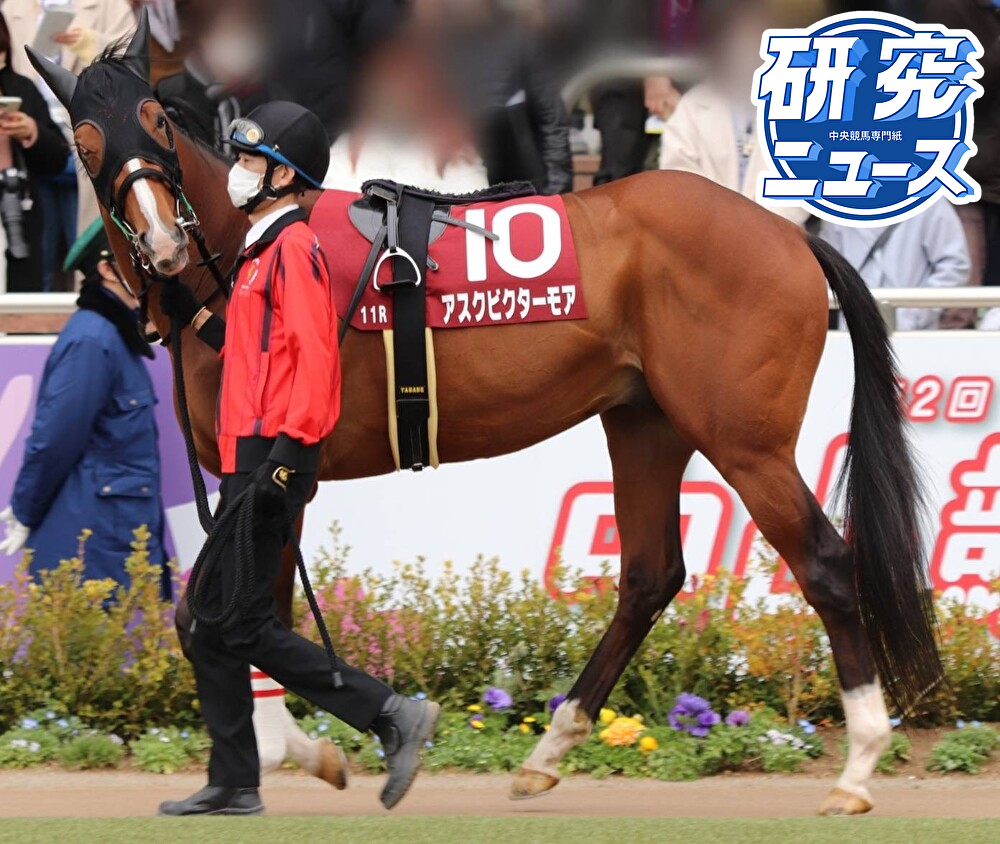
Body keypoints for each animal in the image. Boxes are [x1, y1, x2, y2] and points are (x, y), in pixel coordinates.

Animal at [28, 16, 942, 816]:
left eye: (155, 119)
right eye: (88, 141)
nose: (164, 243)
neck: (245, 250)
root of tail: (789, 234)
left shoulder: (275, 471)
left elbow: (231, 619)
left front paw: (296, 752)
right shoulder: (263, 478)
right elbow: (233, 621)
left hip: (745, 442)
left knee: (826, 563)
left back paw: (858, 764)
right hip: (646, 423)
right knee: (650, 575)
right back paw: (548, 751)